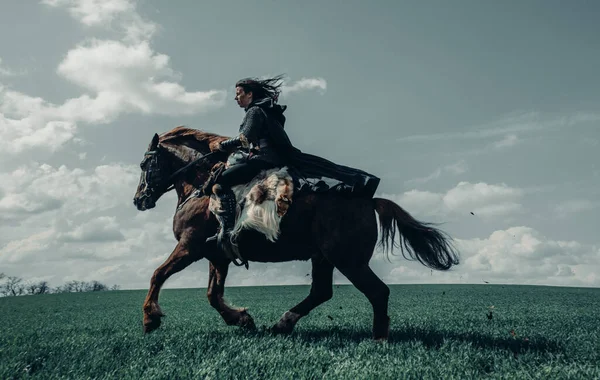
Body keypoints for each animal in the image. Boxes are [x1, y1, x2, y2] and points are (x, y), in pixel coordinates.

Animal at [131, 126, 460, 340]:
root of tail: (369, 200)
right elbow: (213, 294)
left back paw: (379, 338)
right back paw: (282, 324)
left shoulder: (190, 246)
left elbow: (158, 274)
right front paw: (243, 319)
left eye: (146, 163)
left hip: (348, 260)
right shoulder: (218, 255)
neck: (201, 189)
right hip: (324, 258)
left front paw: (150, 318)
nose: (138, 200)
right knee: (322, 291)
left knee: (377, 291)